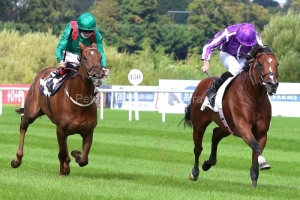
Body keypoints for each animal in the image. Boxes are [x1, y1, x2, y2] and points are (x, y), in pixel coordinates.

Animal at [11, 42, 105, 175]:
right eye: (85, 58)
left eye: (100, 57)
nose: (97, 75)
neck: (79, 101)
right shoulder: (60, 129)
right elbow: (62, 154)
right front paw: (63, 171)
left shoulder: (88, 131)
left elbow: (84, 160)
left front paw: (76, 154)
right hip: (31, 112)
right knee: (23, 126)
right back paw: (17, 160)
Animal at [183, 45, 278, 188]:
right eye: (260, 64)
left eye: (277, 64)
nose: (272, 84)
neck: (254, 97)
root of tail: (202, 83)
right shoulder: (243, 126)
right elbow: (255, 146)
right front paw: (264, 163)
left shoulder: (261, 132)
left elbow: (256, 150)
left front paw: (254, 180)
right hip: (199, 125)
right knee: (198, 148)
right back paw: (194, 172)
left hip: (227, 126)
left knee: (215, 135)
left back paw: (208, 163)